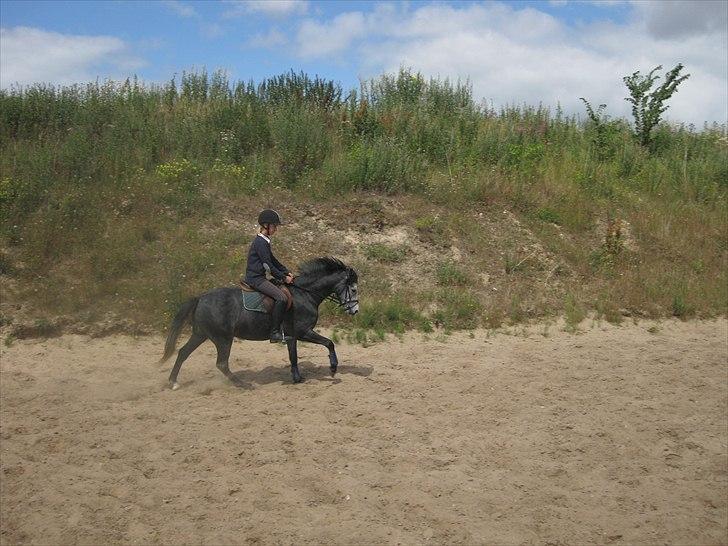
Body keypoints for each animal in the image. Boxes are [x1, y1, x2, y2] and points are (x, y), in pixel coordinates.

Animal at [160, 257, 359, 389]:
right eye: (354, 289)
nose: (355, 311)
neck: (304, 293)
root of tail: (200, 299)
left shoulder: (292, 335)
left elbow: (293, 356)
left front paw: (297, 378)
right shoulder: (303, 332)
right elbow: (329, 343)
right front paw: (333, 368)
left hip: (201, 334)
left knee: (183, 353)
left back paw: (173, 382)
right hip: (223, 338)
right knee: (221, 363)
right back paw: (244, 384)